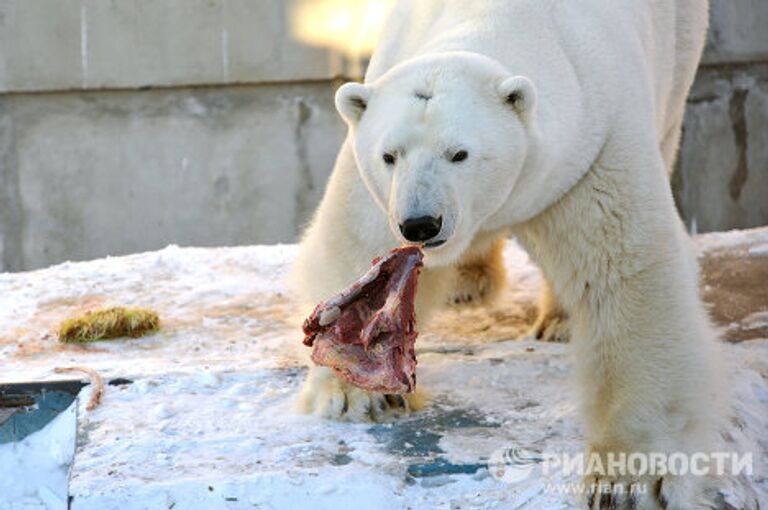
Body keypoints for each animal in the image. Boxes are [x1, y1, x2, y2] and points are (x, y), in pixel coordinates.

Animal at [292, 0, 720, 506]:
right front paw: (359, 392)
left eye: (460, 153)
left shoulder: (593, 148)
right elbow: (357, 241)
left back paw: (558, 321)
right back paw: (468, 283)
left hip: (677, 58)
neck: (498, 16)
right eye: (389, 155)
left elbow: (626, 275)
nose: (421, 224)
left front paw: (628, 480)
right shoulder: (379, 187)